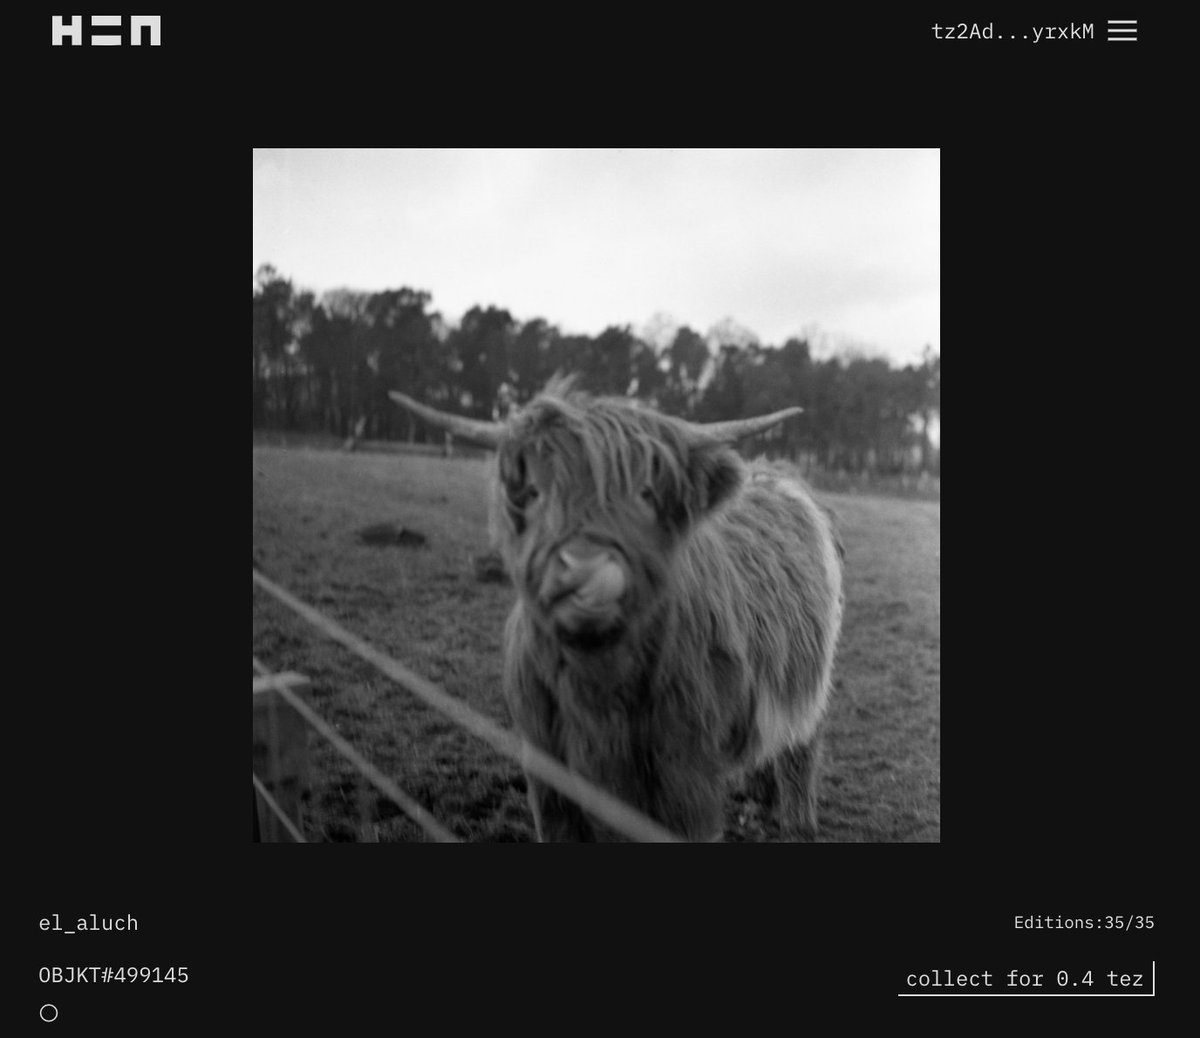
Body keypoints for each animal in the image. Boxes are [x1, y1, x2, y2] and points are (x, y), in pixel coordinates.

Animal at [390, 379, 844, 841]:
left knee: (800, 751)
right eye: (534, 492)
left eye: (645, 493)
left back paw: (796, 822)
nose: (585, 571)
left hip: (809, 684)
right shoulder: (547, 774)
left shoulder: (686, 776)